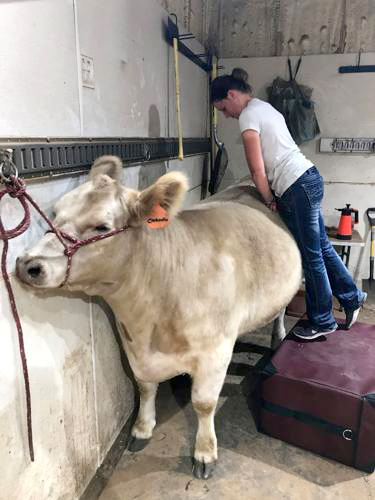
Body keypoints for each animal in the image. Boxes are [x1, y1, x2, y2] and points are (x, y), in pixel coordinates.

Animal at [17, 156, 302, 480]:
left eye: (101, 226)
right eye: (55, 213)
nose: (28, 264)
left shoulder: (214, 352)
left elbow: (204, 404)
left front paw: (205, 452)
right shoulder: (131, 344)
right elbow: (145, 387)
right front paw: (142, 429)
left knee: (281, 310)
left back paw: (279, 336)